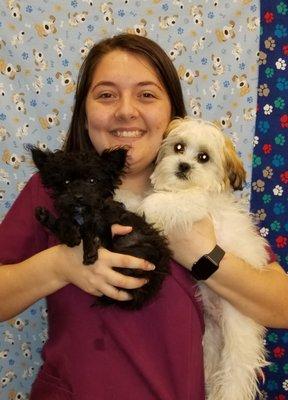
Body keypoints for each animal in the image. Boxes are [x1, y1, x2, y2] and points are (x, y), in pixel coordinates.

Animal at [28, 146, 171, 310]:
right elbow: (65, 219)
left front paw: (89, 247)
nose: (78, 196)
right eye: (66, 181)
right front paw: (69, 233)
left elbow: (88, 226)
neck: (82, 212)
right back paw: (45, 217)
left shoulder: (106, 217)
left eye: (92, 180)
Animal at [138, 117, 268, 400]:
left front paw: (144, 206)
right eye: (178, 147)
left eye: (204, 157)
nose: (184, 166)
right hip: (209, 344)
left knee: (236, 376)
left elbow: (163, 202)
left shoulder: (194, 204)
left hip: (238, 338)